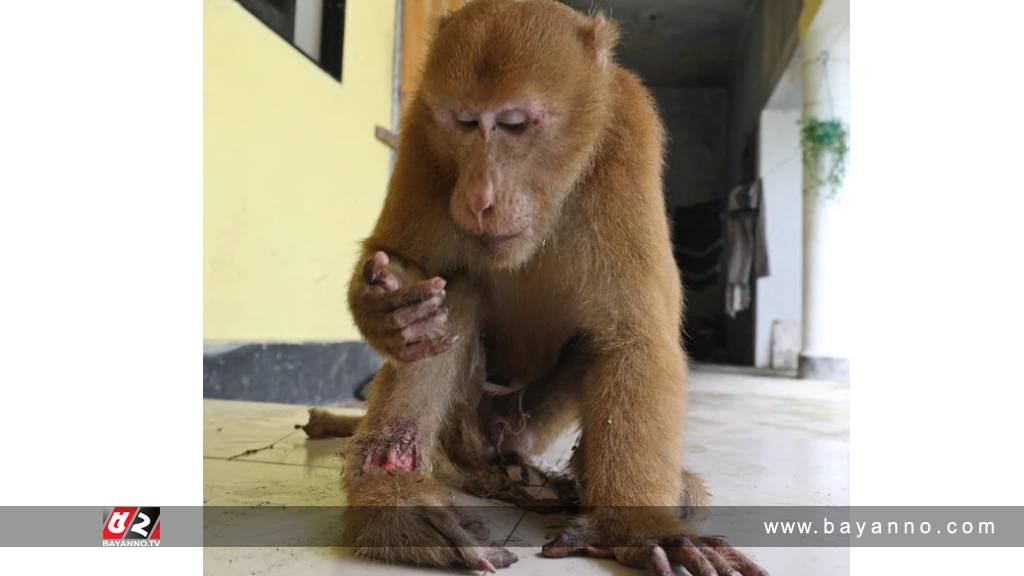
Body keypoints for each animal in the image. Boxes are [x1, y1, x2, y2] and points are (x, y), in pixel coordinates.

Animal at [323, 1, 765, 573]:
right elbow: (407, 263)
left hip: (521, 426)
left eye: (513, 125)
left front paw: (643, 527)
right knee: (452, 294)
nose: (479, 198)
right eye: (464, 122)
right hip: (465, 424)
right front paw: (382, 310)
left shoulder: (629, 135)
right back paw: (395, 503)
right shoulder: (423, 129)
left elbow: (633, 336)